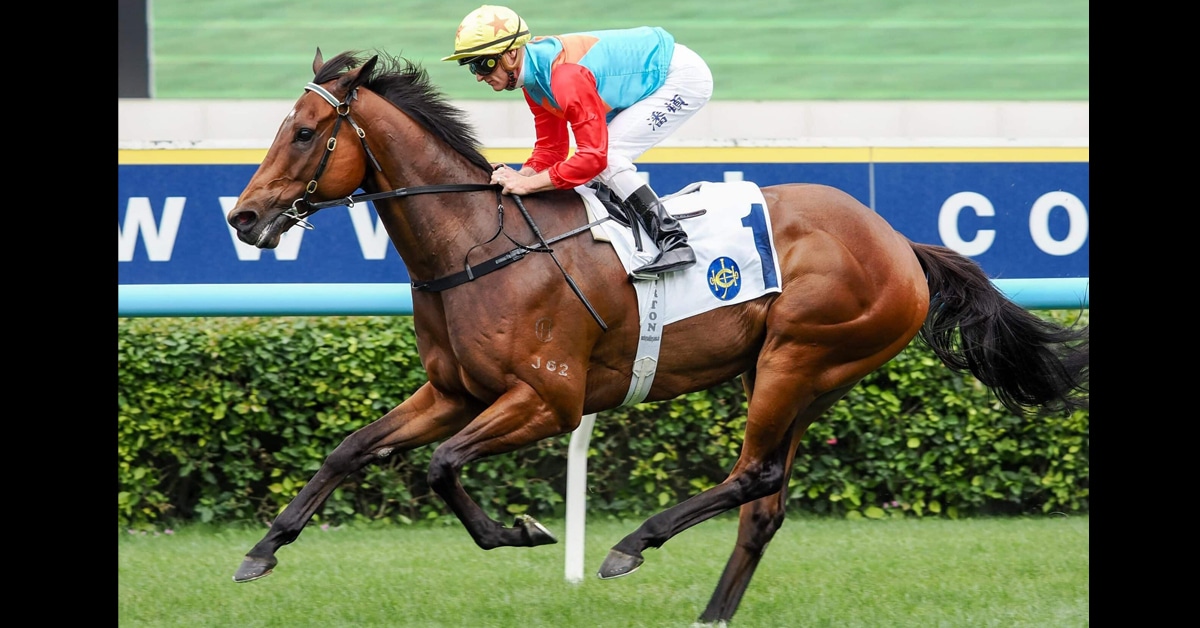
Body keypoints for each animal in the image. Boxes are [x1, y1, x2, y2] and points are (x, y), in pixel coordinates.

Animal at [225, 48, 1088, 624]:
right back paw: (709, 611)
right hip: (802, 376)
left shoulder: (549, 400)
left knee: (751, 476)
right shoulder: (453, 391)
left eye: (304, 132)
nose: (244, 215)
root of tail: (900, 243)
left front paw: (522, 529)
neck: (477, 246)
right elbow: (354, 449)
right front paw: (263, 549)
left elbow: (440, 467)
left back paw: (634, 542)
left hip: (802, 355)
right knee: (763, 503)